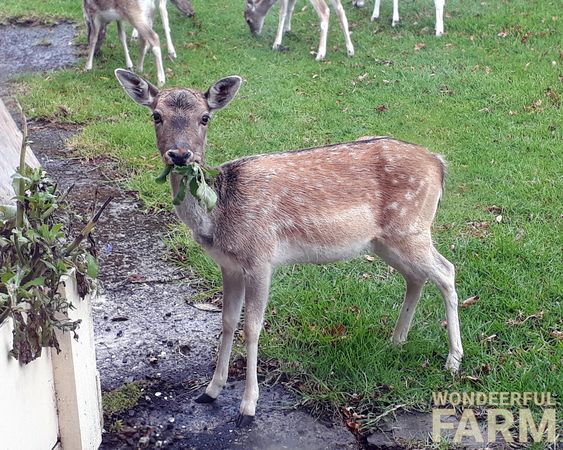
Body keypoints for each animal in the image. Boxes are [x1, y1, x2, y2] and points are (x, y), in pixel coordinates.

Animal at [113, 68, 462, 428]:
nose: (180, 154)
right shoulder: (228, 265)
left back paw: (452, 361)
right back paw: (396, 341)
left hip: (412, 227)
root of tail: (439, 163)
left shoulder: (259, 258)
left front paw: (247, 408)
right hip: (385, 241)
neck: (218, 217)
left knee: (446, 271)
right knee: (417, 277)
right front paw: (210, 391)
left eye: (205, 117)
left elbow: (252, 328)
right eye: (156, 115)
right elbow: (226, 322)